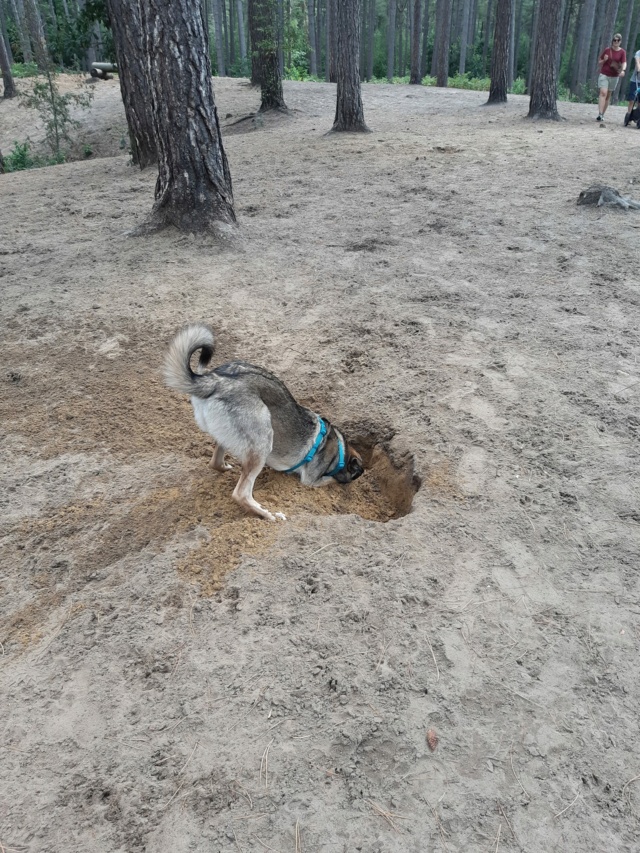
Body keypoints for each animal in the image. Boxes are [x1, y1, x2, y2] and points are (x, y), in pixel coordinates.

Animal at [164, 322, 364, 516]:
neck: (340, 452)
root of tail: (216, 380)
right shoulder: (311, 480)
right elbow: (331, 481)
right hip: (263, 439)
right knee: (241, 493)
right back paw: (267, 514)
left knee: (215, 463)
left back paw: (226, 469)